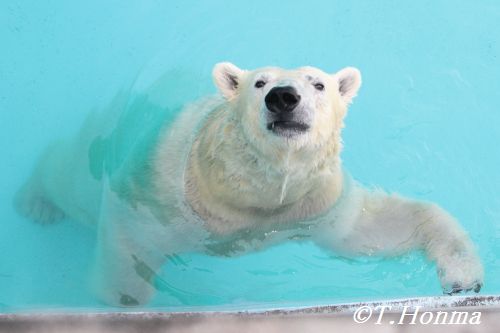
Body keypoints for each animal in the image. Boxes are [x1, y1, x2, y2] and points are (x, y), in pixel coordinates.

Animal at [16, 62, 484, 306]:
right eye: (258, 81)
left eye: (318, 82)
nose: (283, 97)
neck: (257, 196)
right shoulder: (165, 197)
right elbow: (131, 242)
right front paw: (127, 301)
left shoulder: (313, 205)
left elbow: (376, 231)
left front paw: (464, 277)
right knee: (67, 175)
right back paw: (36, 201)